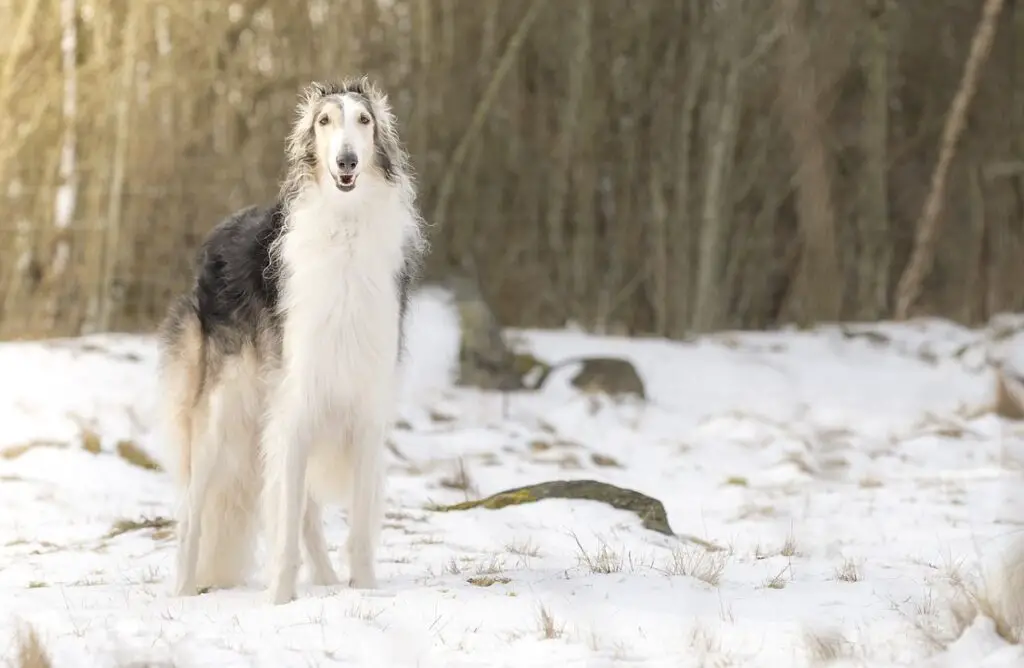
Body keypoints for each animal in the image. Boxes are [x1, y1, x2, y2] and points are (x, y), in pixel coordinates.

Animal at [154, 76, 423, 606]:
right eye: (324, 121)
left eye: (364, 120)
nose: (347, 162)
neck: (344, 229)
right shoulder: (297, 400)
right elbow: (283, 520)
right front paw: (278, 601)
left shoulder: (363, 407)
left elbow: (356, 527)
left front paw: (363, 590)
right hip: (223, 413)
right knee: (195, 510)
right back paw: (183, 589)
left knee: (304, 515)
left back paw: (326, 579)